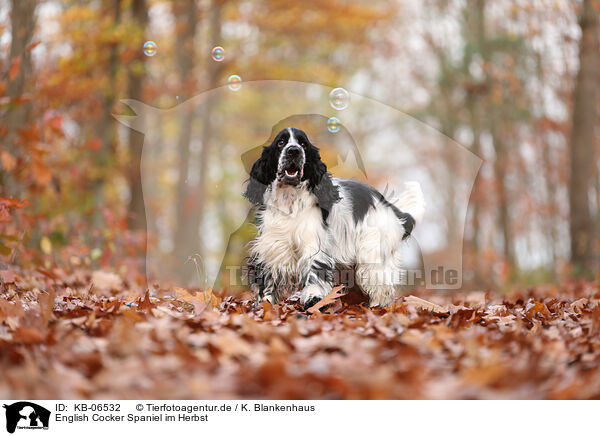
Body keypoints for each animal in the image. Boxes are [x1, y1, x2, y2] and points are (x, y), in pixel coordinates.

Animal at [241, 127, 424, 308]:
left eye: (303, 144)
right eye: (280, 142)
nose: (294, 151)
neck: (289, 200)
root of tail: (392, 209)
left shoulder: (314, 244)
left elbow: (315, 272)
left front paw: (313, 299)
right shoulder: (272, 244)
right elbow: (268, 278)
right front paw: (265, 303)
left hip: (373, 251)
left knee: (381, 284)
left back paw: (378, 307)